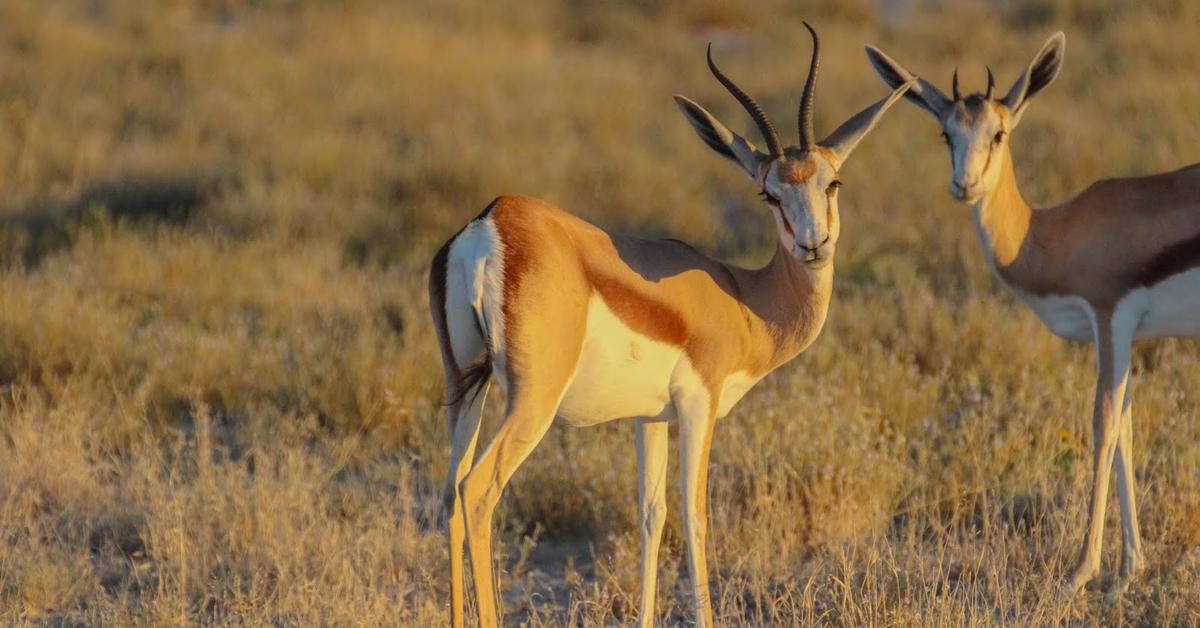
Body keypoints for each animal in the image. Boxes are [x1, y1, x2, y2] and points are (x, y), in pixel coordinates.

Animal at [432, 24, 907, 628]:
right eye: (770, 193)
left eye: (833, 183)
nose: (813, 245)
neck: (744, 297)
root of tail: (489, 222)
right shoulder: (698, 405)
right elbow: (695, 513)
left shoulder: (648, 416)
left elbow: (651, 513)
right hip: (531, 402)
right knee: (477, 492)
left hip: (464, 388)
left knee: (449, 493)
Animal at [868, 33, 1200, 595]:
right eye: (946, 133)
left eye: (998, 133)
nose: (964, 186)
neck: (1047, 234)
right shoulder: (1126, 336)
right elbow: (1127, 430)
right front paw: (1128, 571)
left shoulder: (1111, 316)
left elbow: (1104, 425)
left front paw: (1080, 572)